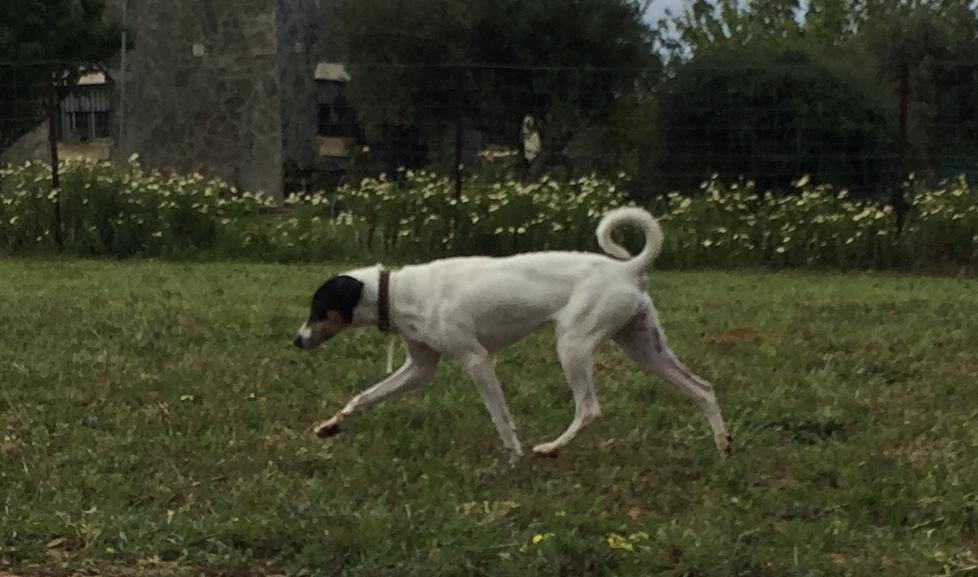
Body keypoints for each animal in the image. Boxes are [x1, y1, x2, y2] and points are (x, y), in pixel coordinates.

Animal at [293, 207, 731, 460]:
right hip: (644, 348)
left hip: (572, 345)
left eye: (317, 309)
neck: (399, 291)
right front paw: (332, 425)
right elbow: (364, 397)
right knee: (703, 388)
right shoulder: (419, 369)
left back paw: (550, 448)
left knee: (589, 408)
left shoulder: (476, 360)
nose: (296, 341)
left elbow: (500, 415)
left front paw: (514, 454)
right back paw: (723, 444)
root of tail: (628, 269)